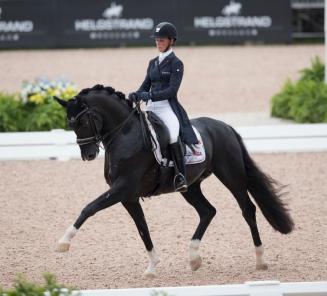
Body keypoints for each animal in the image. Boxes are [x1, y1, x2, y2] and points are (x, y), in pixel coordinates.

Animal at [53, 85, 294, 278]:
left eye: (82, 121)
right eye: (70, 123)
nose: (88, 155)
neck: (125, 134)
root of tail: (225, 127)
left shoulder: (122, 189)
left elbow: (89, 208)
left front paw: (63, 242)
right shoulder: (128, 197)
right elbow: (142, 228)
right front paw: (152, 267)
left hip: (231, 176)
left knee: (247, 210)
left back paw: (260, 261)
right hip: (190, 187)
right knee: (208, 211)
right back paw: (194, 259)